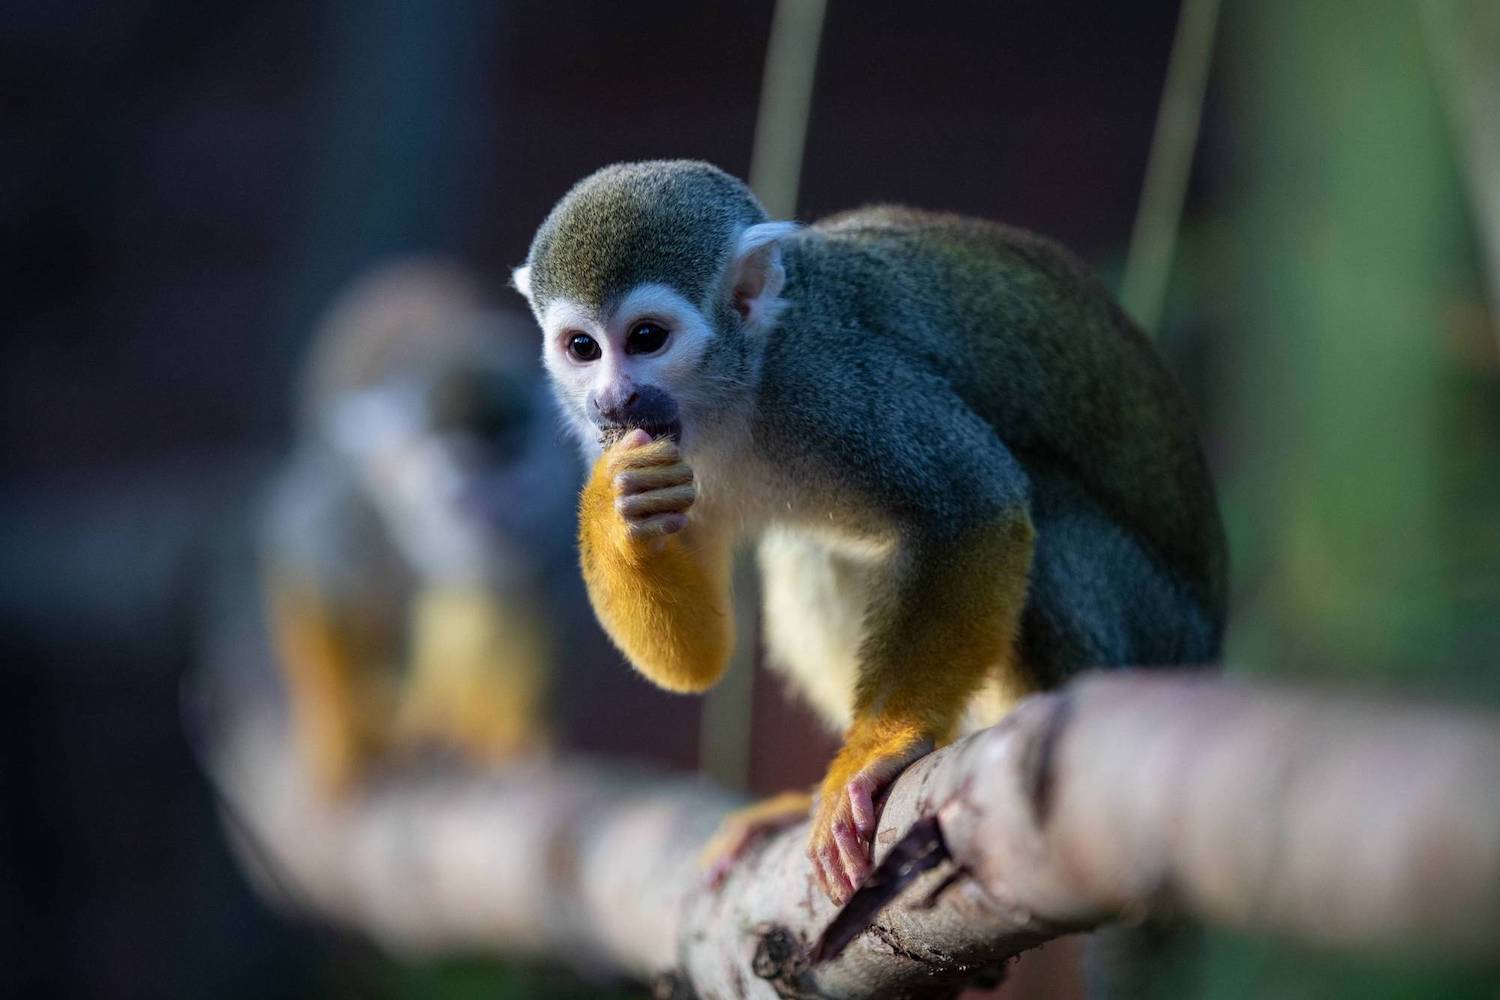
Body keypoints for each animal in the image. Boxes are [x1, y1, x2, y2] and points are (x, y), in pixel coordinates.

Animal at [261, 262, 576, 791]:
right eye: (463, 501)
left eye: (515, 494)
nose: (494, 528)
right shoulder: (350, 512)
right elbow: (314, 571)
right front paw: (339, 730)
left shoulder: (547, 512)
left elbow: (515, 598)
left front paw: (502, 734)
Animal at [510, 162, 1224, 899]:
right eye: (583, 348)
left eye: (647, 338)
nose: (613, 399)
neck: (742, 383)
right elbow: (696, 661)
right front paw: (620, 506)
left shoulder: (833, 380)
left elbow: (974, 505)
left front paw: (882, 747)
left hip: (1150, 635)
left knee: (1042, 511)